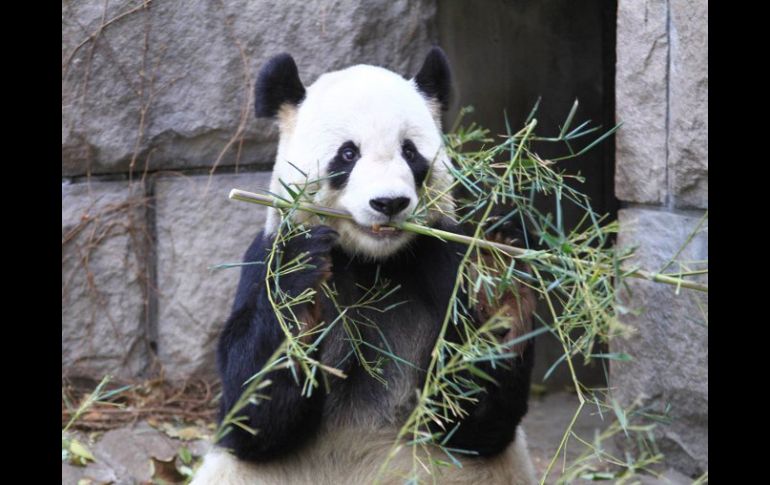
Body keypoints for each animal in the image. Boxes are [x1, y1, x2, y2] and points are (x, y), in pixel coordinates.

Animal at [192, 46, 536, 484]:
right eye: (348, 154)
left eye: (411, 152)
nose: (389, 203)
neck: (371, 260)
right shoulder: (263, 259)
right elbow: (250, 414)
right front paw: (301, 277)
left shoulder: (443, 261)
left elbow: (473, 423)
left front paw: (498, 287)